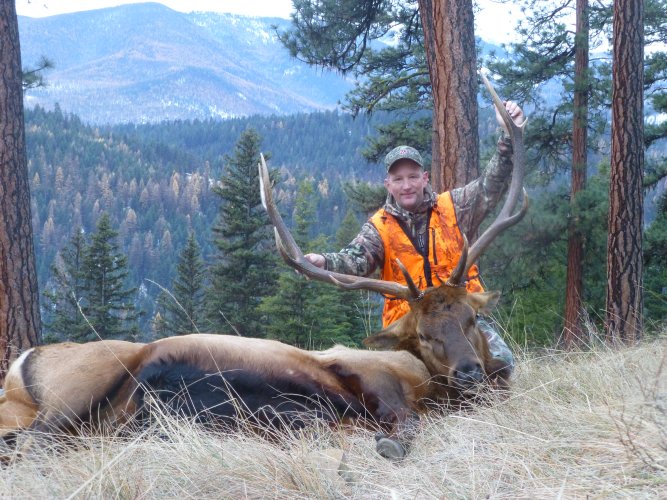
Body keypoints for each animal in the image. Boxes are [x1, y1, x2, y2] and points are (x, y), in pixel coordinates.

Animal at [0, 74, 527, 460]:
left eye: (471, 317)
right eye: (423, 333)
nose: (469, 372)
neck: (428, 385)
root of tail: (21, 363)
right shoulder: (376, 379)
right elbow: (401, 424)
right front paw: (386, 440)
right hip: (80, 385)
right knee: (34, 443)